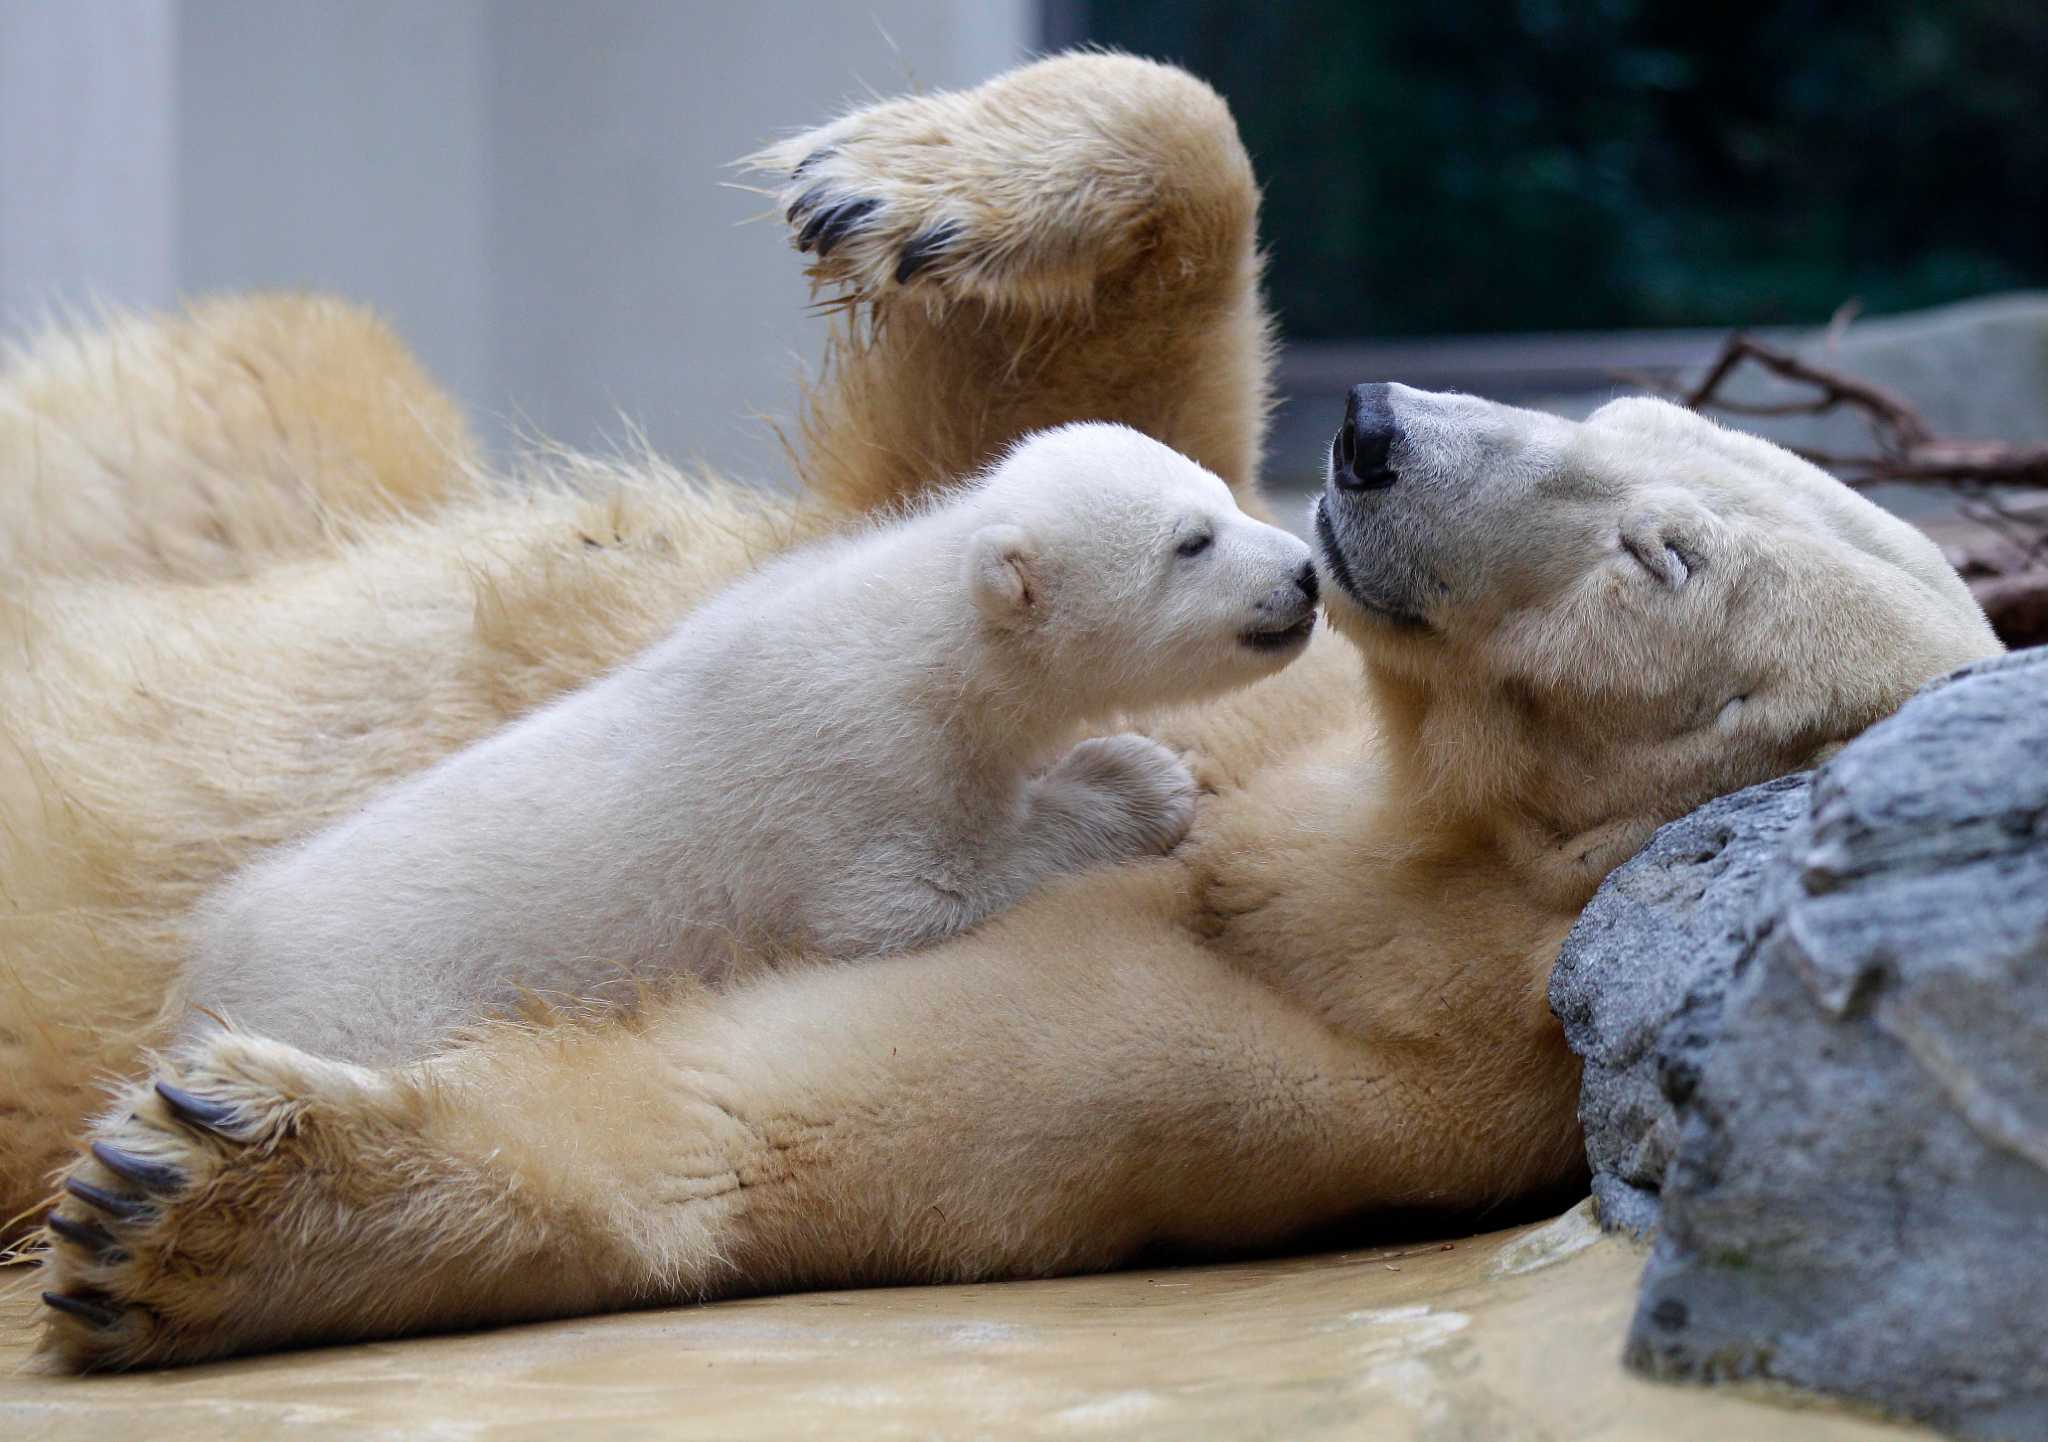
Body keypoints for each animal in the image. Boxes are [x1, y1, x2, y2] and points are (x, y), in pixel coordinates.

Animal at [12, 53, 1998, 1360]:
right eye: (1621, 417)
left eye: (1660, 558)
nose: (1371, 437)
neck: (1365, 850)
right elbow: (1028, 433)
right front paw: (900, 180)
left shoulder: (1305, 1063)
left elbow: (739, 1116)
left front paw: (202, 1195)